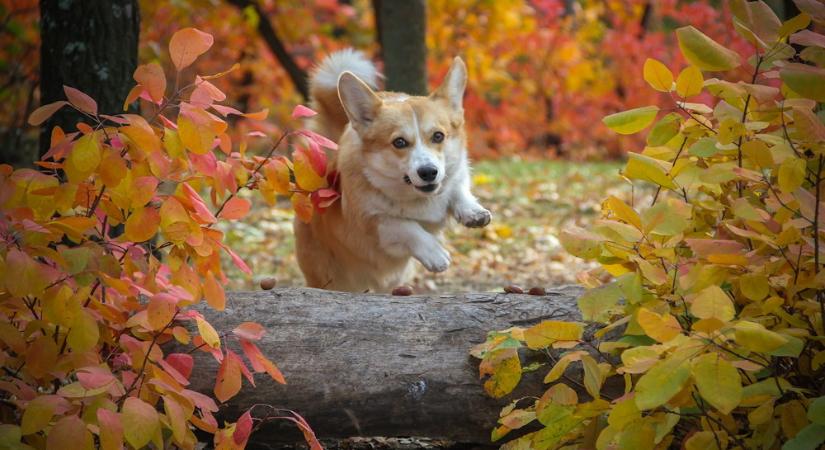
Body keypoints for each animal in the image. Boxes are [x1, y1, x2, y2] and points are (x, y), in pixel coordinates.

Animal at [294, 49, 490, 294]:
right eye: (399, 142)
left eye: (438, 136)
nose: (428, 172)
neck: (418, 198)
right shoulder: (374, 223)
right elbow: (405, 226)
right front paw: (435, 253)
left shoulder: (457, 174)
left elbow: (458, 190)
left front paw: (473, 212)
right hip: (331, 277)